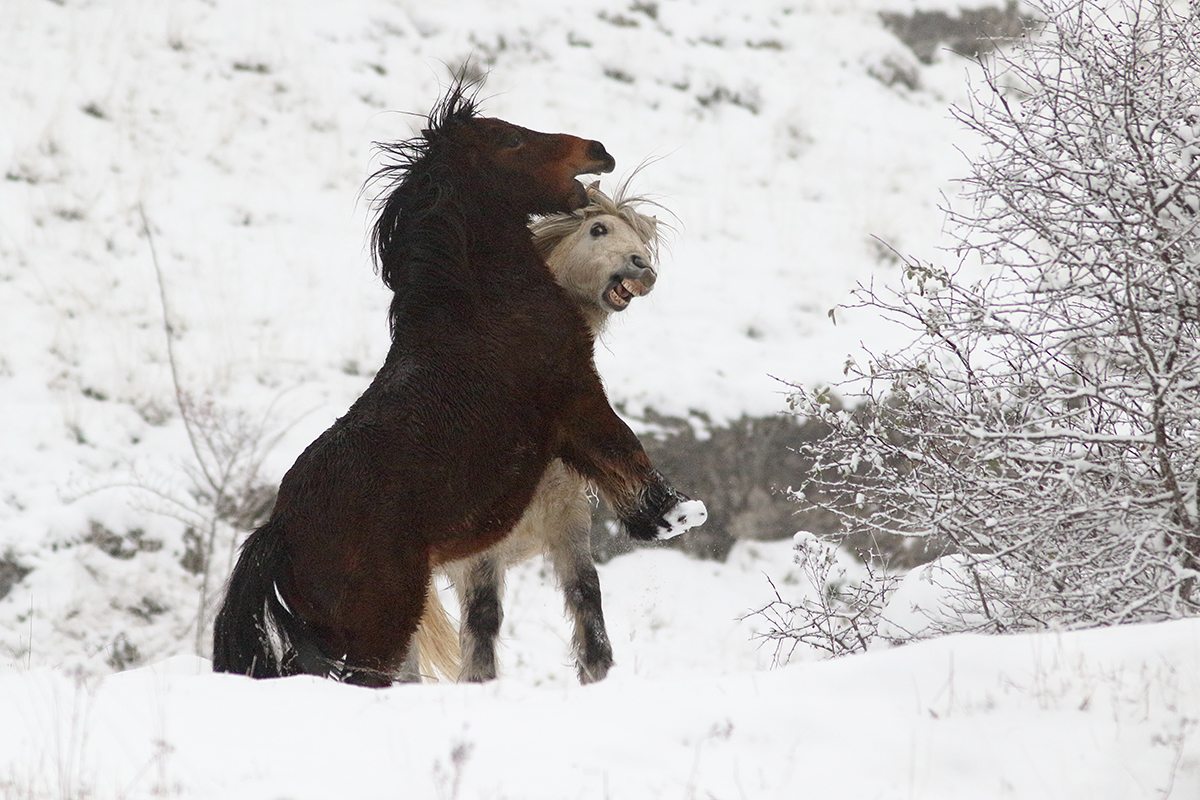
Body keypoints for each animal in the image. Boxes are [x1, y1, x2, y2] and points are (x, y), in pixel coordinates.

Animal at [417, 179, 667, 681]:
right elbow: (483, 625)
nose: (642, 267)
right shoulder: (483, 553)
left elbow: (589, 606)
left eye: (642, 238)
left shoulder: (568, 527)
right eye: (598, 228)